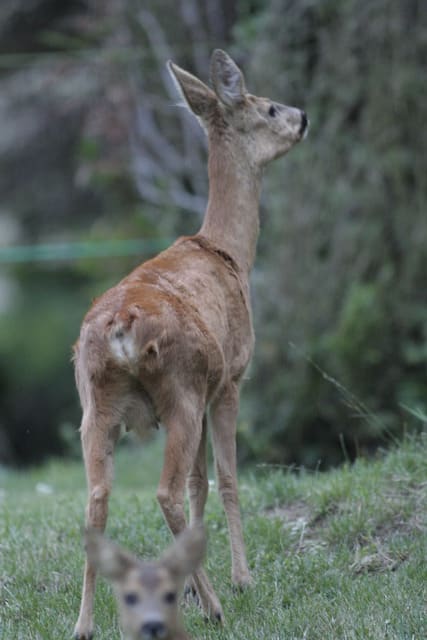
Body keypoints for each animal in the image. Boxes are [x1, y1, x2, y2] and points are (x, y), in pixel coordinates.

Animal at [73, 49, 308, 640]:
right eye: (269, 107)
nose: (303, 116)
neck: (229, 252)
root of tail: (122, 324)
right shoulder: (228, 381)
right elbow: (225, 480)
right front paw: (240, 580)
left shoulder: (204, 393)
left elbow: (203, 482)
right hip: (177, 389)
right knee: (165, 491)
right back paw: (215, 604)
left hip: (96, 407)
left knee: (97, 500)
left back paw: (85, 624)